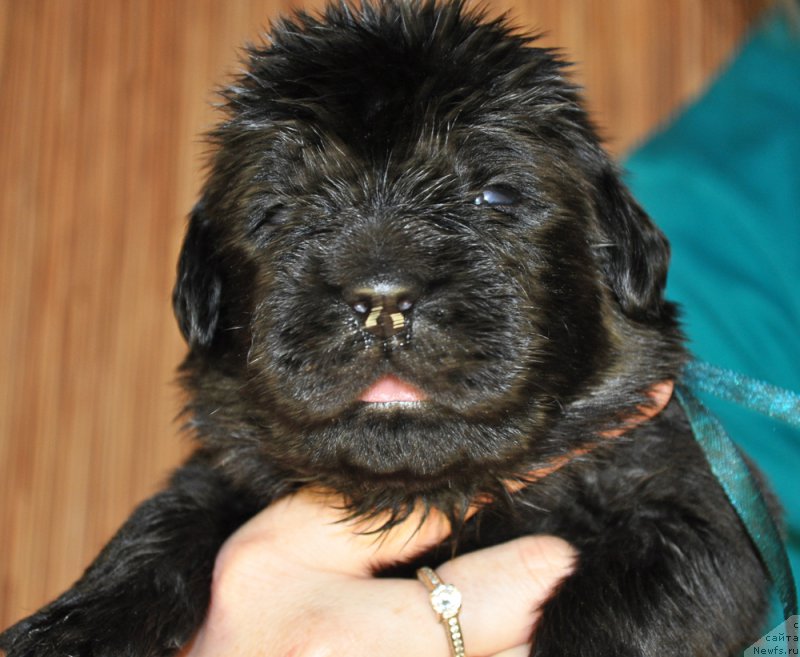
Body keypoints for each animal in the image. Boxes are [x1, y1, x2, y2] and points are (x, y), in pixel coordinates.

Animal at [3, 2, 772, 652]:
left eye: (494, 194)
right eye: (278, 209)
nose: (382, 298)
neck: (422, 492)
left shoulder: (692, 519)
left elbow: (620, 610)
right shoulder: (223, 473)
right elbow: (161, 519)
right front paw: (71, 628)